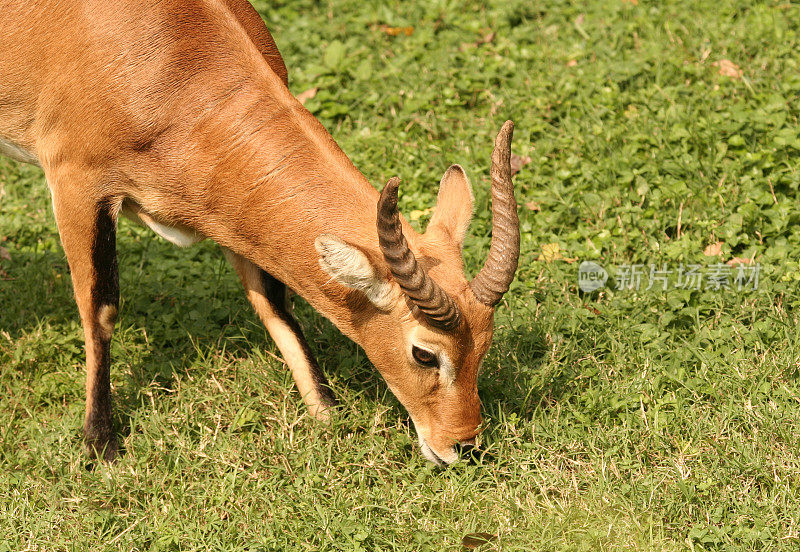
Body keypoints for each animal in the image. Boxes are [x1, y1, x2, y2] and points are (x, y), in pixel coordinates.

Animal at [0, 0, 520, 466]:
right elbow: (100, 310)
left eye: (486, 343)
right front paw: (100, 445)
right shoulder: (76, 186)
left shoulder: (230, 209)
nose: (463, 446)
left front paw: (327, 414)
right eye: (425, 354)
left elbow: (274, 304)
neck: (172, 64)